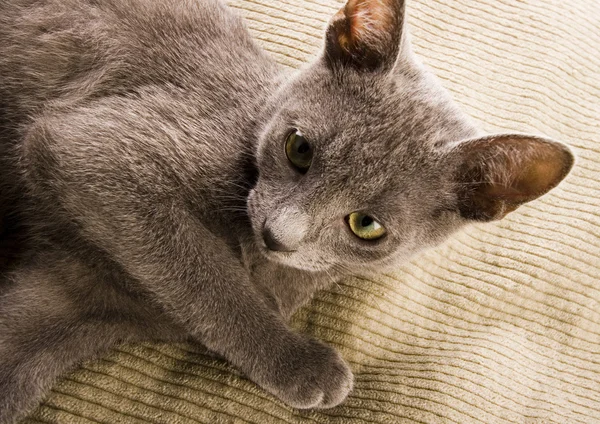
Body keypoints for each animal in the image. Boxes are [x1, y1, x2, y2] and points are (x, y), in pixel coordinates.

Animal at [0, 0, 576, 422]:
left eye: (367, 225)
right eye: (299, 149)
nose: (278, 235)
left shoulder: (76, 297)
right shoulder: (95, 151)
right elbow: (208, 279)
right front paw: (300, 362)